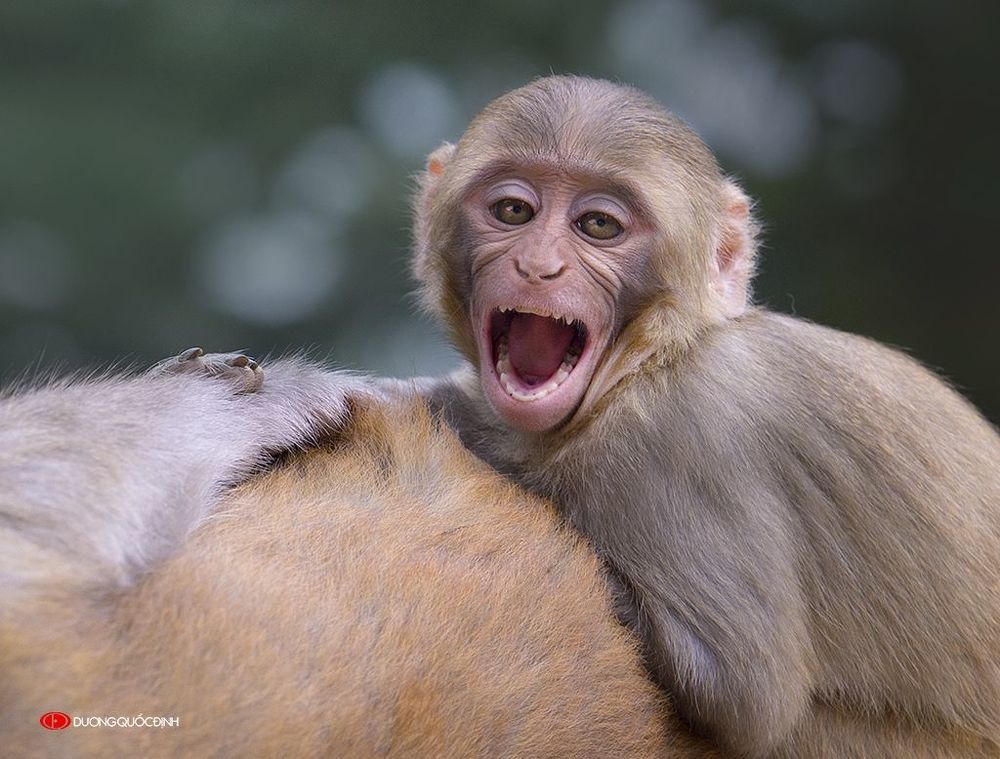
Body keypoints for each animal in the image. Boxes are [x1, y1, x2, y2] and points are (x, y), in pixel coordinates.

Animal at [381, 75, 1000, 756]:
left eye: (598, 225)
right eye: (514, 212)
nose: (538, 266)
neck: (653, 359)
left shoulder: (685, 435)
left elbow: (740, 695)